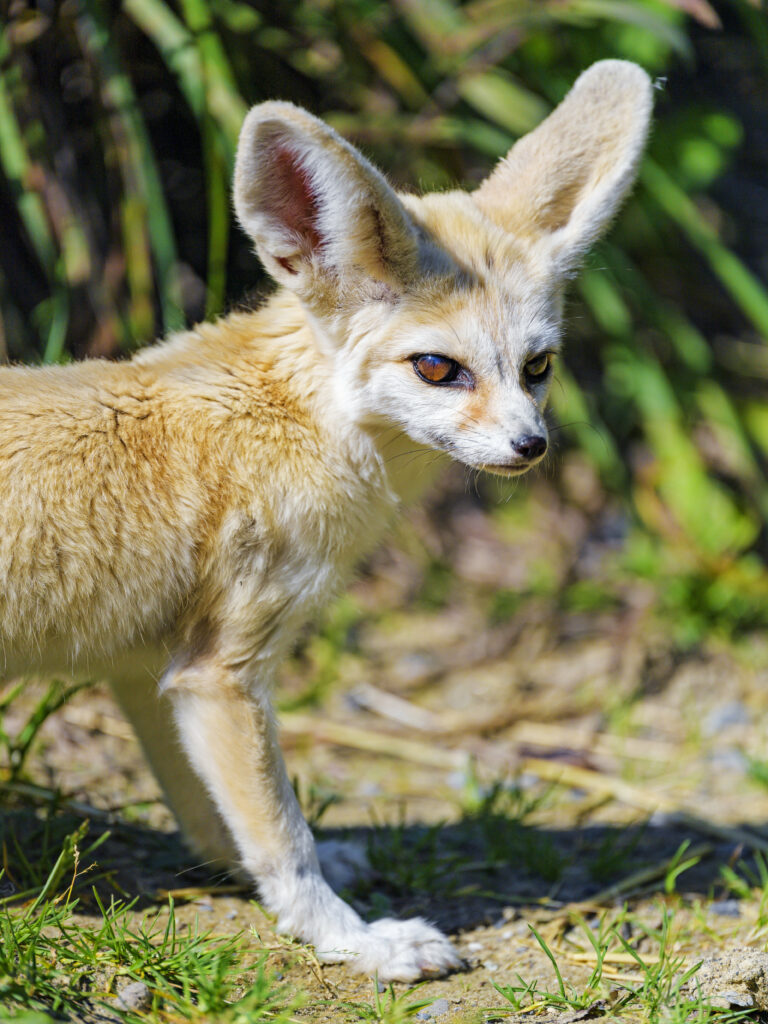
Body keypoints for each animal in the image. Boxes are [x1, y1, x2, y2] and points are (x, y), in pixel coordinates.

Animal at [0, 60, 652, 981]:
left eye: (539, 367)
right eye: (437, 368)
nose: (531, 447)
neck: (291, 418)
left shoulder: (148, 669)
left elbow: (213, 814)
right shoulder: (222, 673)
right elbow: (283, 838)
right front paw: (352, 937)